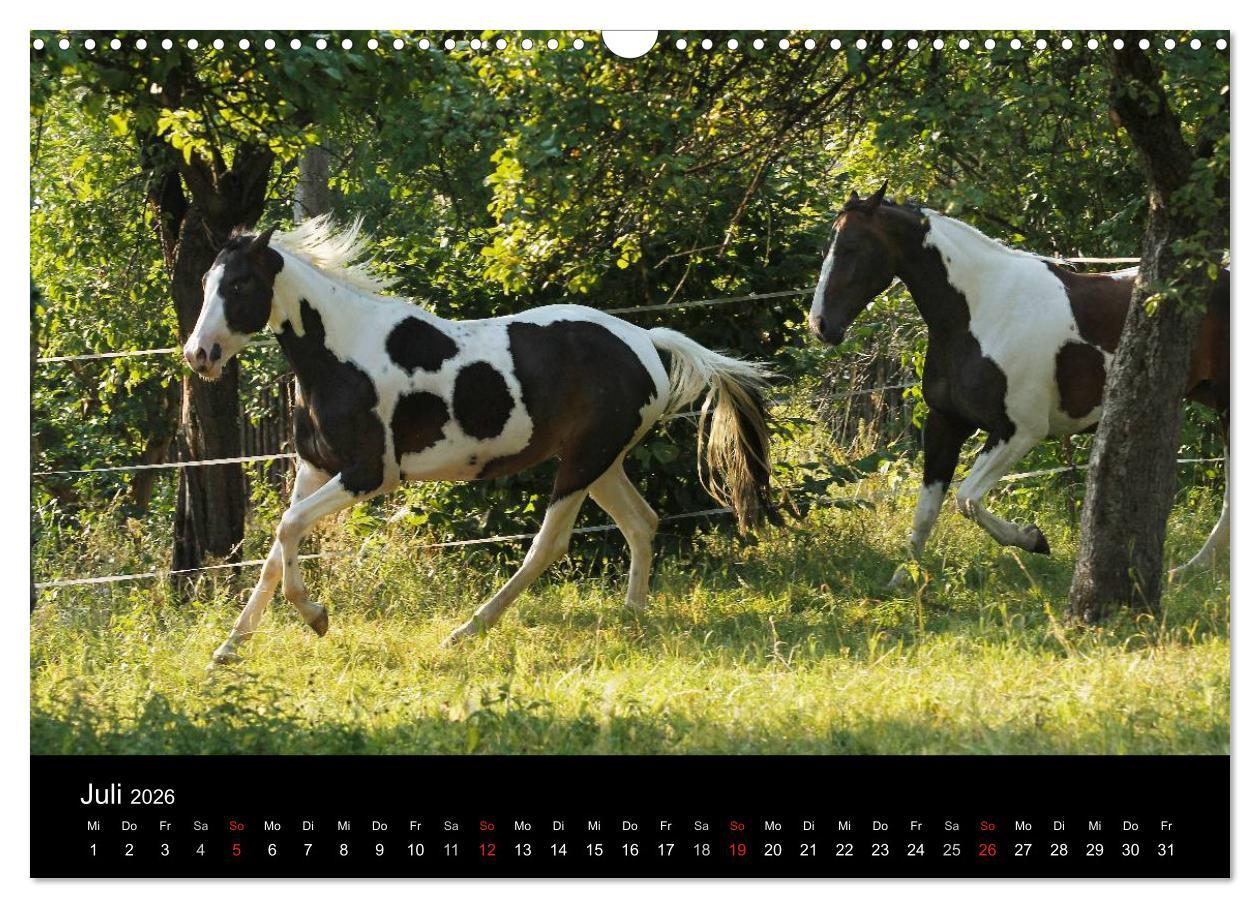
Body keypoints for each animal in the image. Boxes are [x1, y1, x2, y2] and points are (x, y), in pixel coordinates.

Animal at [183, 215, 778, 663]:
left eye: (239, 285)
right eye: (207, 284)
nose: (199, 355)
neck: (343, 354)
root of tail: (646, 339)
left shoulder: (370, 475)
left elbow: (286, 530)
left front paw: (316, 618)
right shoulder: (316, 467)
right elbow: (275, 551)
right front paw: (229, 650)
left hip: (582, 463)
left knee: (548, 546)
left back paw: (466, 631)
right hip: (602, 461)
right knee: (641, 523)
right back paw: (633, 619)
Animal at [808, 183, 1229, 588]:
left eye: (851, 247)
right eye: (829, 246)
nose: (821, 325)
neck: (984, 311)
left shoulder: (1020, 430)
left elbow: (966, 499)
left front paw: (1033, 539)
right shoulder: (946, 423)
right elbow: (927, 510)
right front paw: (903, 577)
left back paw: (1190, 569)